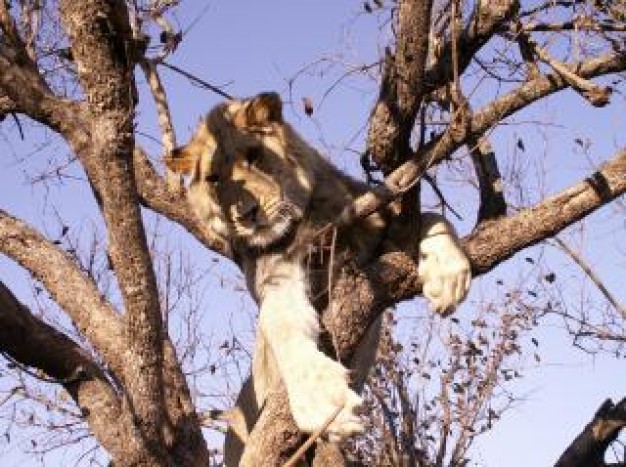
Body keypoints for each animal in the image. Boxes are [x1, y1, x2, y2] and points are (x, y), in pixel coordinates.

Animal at [165, 91, 468, 464]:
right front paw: (324, 400)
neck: (307, 219)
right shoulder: (277, 275)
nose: (246, 213)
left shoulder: (381, 229)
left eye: (253, 155)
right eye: (213, 179)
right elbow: (282, 324)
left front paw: (448, 276)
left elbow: (432, 216)